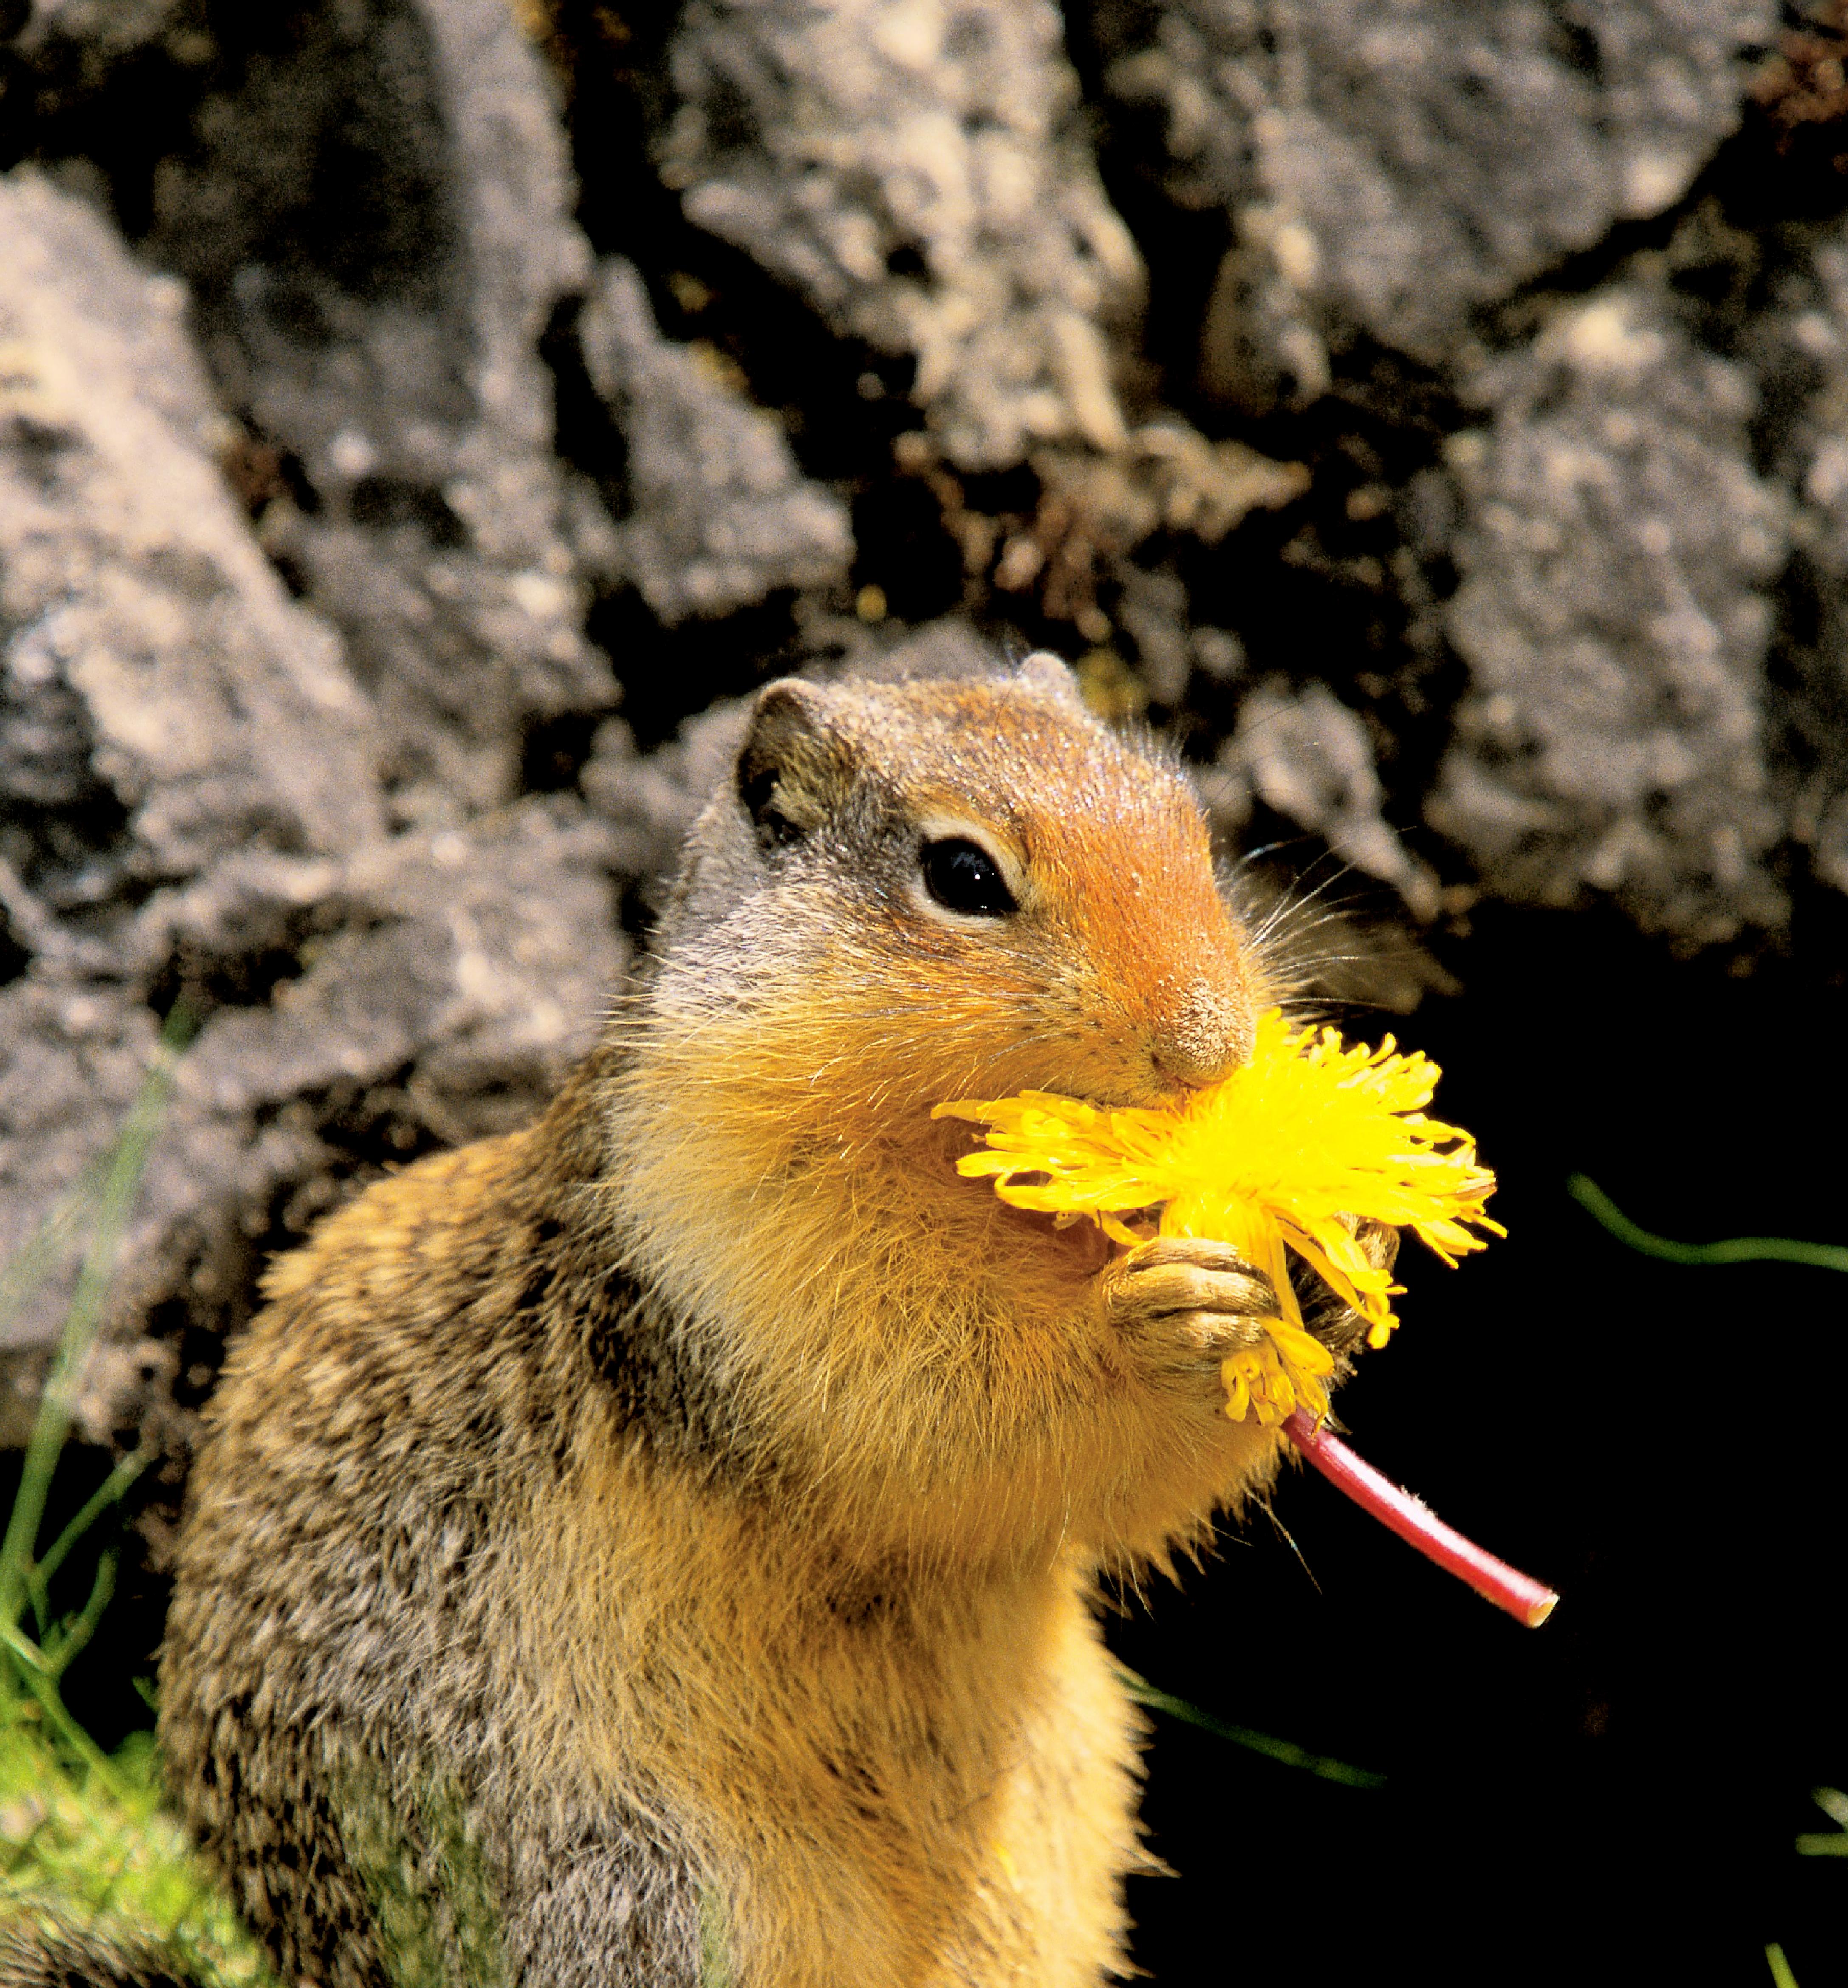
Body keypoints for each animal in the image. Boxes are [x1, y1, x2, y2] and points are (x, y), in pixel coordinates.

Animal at [152, 654, 1394, 1988]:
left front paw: (1339, 1261)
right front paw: (1156, 1317)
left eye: (1189, 829)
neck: (981, 1185)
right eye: (963, 876)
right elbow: (934, 1410)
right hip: (654, 1891)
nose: (1208, 1046)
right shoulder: (742, 1252)